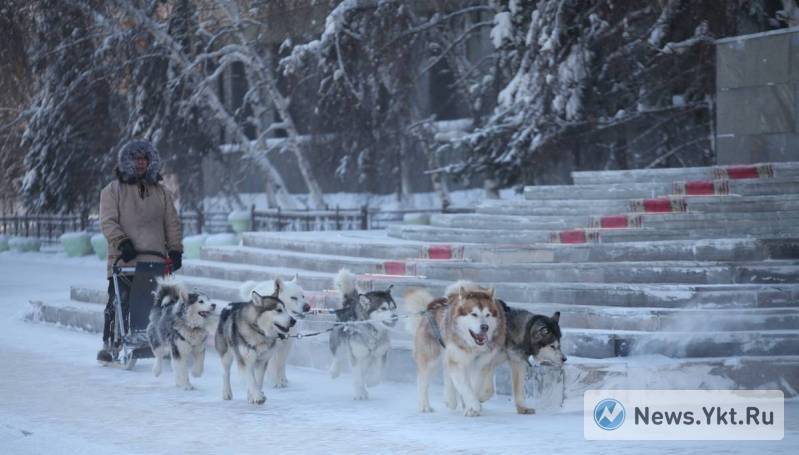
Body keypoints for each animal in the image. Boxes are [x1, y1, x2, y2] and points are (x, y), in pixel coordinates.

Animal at [328, 268, 396, 400]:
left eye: (394, 307)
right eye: (383, 308)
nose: (395, 317)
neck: (372, 331)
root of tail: (351, 303)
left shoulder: (380, 353)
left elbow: (377, 373)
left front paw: (370, 382)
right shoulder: (356, 355)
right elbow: (357, 376)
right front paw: (359, 393)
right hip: (337, 339)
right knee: (337, 355)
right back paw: (334, 371)